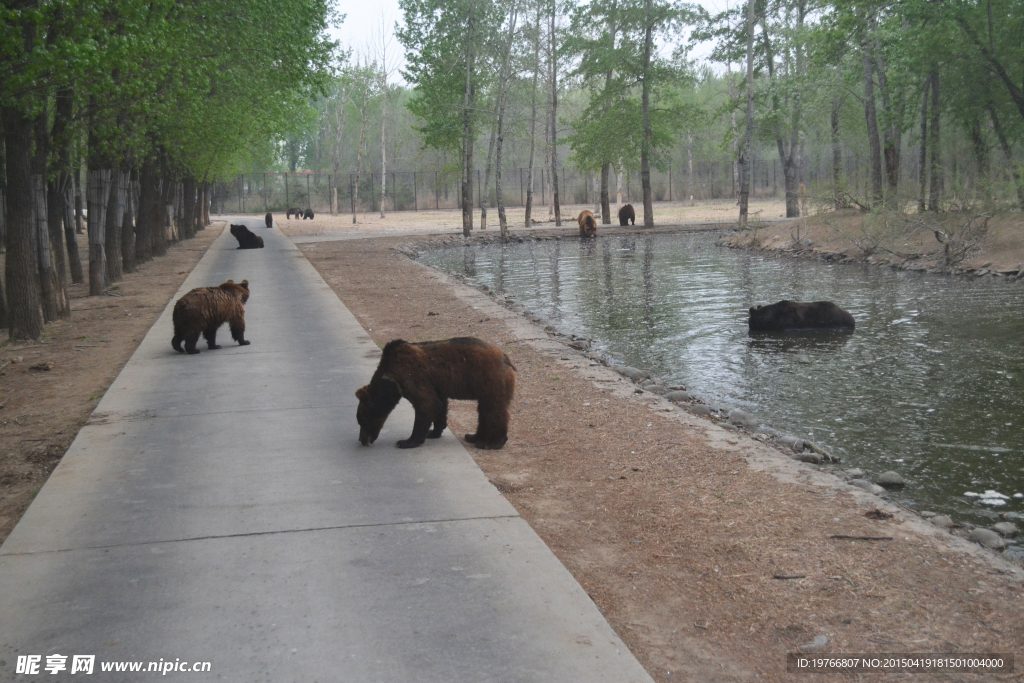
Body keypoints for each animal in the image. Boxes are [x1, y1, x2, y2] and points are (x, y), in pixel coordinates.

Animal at [360, 337, 520, 454]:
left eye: (363, 420)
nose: (362, 440)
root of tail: (506, 357)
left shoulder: (411, 375)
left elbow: (426, 403)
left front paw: (406, 441)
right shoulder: (436, 385)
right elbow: (439, 403)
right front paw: (433, 431)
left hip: (491, 380)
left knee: (494, 409)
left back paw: (492, 443)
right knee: (484, 410)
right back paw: (474, 436)